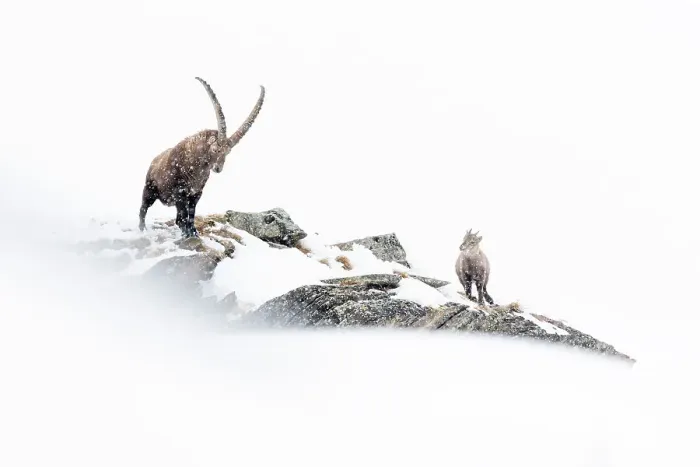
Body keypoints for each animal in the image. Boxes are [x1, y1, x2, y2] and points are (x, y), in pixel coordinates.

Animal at [139, 77, 265, 237]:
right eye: (215, 149)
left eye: (228, 152)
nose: (218, 168)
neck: (196, 169)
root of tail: (154, 160)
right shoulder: (179, 193)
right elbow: (183, 216)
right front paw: (187, 234)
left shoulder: (196, 194)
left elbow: (190, 215)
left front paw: (193, 232)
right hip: (149, 189)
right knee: (143, 208)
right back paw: (142, 229)